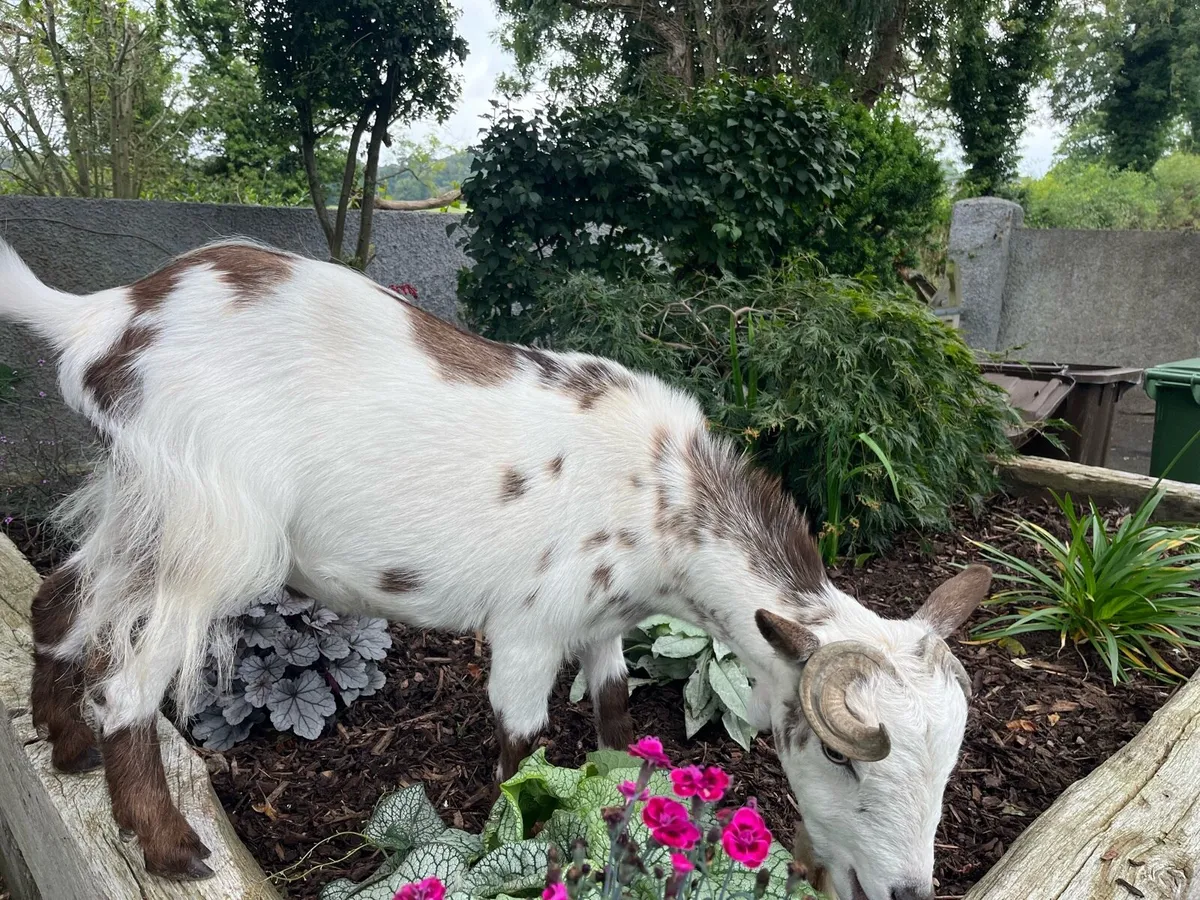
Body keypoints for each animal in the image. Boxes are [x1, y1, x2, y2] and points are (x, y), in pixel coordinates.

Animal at [0, 238, 990, 900]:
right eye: (839, 757)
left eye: (948, 766)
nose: (907, 889)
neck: (660, 497)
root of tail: (105, 317)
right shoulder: (529, 631)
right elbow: (522, 751)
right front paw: (520, 843)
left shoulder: (603, 627)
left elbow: (615, 718)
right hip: (212, 526)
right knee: (131, 677)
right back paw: (169, 847)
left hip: (141, 498)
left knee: (59, 601)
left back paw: (66, 746)